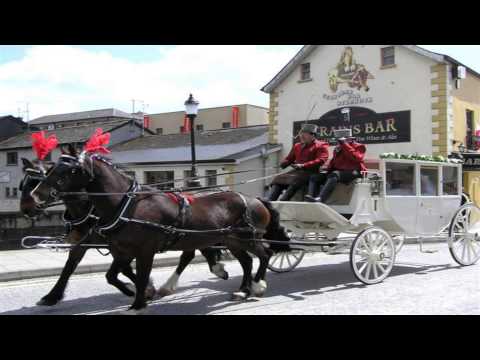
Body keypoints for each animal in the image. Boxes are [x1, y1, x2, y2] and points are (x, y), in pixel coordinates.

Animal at [31, 146, 290, 312]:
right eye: (51, 168)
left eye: (69, 170)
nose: (36, 195)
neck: (127, 204)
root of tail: (256, 199)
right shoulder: (121, 250)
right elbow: (111, 275)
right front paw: (139, 293)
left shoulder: (144, 250)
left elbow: (140, 274)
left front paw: (139, 302)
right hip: (231, 241)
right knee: (246, 262)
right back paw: (242, 290)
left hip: (248, 238)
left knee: (265, 254)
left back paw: (257, 286)